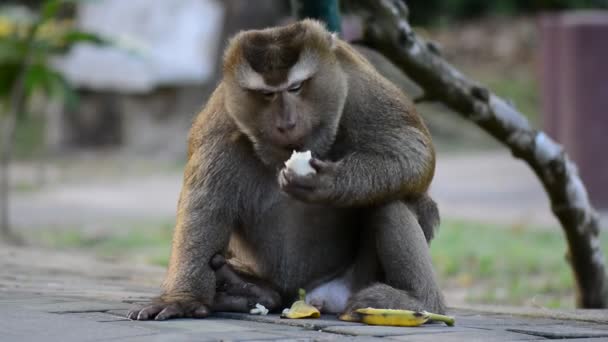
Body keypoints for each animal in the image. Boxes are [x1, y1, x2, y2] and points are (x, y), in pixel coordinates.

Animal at [128, 19, 444, 320]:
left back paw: (420, 301)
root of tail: (303, 295)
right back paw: (249, 292)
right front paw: (182, 298)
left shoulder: (358, 86)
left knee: (391, 198)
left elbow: (411, 148)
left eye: (295, 88)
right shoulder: (223, 115)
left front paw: (329, 182)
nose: (287, 123)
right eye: (267, 95)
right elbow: (205, 201)